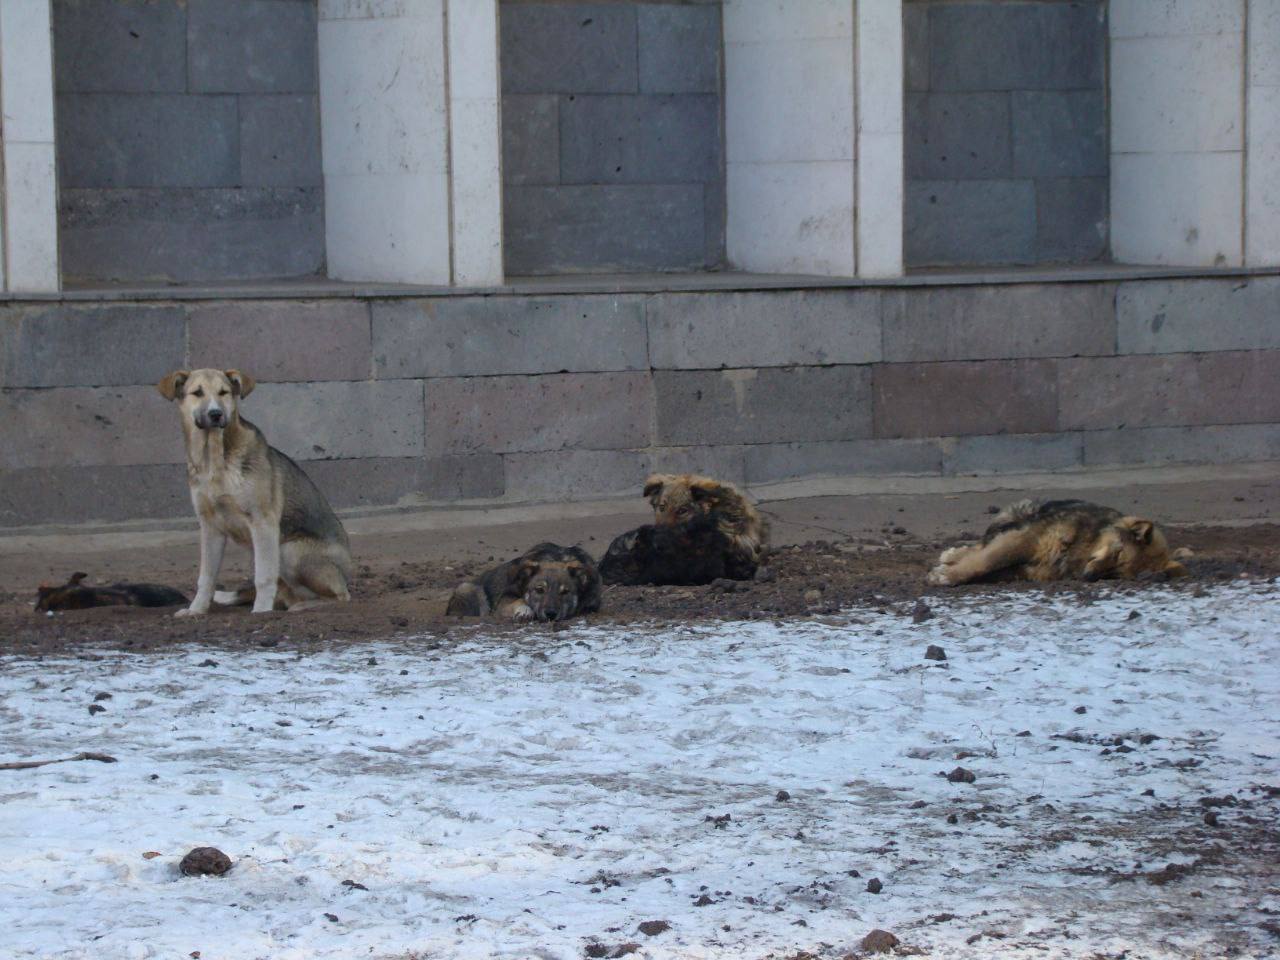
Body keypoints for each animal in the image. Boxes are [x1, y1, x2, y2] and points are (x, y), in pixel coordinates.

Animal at [157, 368, 353, 616]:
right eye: (197, 392)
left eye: (224, 392)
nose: (215, 414)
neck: (215, 461)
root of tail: (348, 573)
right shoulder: (210, 526)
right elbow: (206, 577)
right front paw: (196, 610)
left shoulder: (263, 522)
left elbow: (264, 577)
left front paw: (260, 613)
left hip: (287, 549)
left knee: (340, 596)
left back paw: (300, 606)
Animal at [445, 542, 604, 624]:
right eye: (539, 590)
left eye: (565, 592)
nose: (551, 614)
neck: (556, 558)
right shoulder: (504, 598)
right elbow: (519, 600)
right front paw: (524, 611)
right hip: (465, 588)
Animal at [931, 504, 1187, 586]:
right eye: (1117, 553)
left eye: (1114, 575)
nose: (1088, 578)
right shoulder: (1027, 539)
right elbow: (986, 560)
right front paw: (948, 575)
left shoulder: (1034, 571)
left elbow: (992, 569)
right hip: (1019, 517)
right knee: (984, 544)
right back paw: (953, 554)